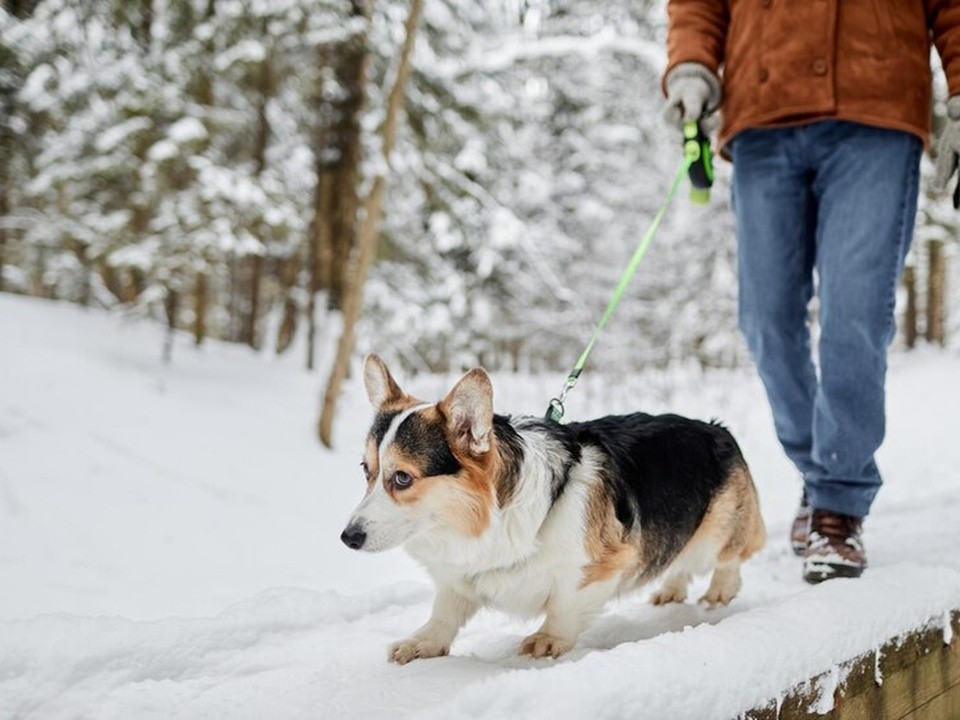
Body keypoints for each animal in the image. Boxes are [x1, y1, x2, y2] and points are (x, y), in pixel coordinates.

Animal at [344, 354, 764, 664]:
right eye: (366, 469)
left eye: (402, 478)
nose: (348, 538)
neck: (487, 519)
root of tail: (717, 428)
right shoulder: (458, 580)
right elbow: (443, 613)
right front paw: (422, 643)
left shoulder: (599, 566)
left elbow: (564, 606)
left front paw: (547, 640)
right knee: (677, 558)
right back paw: (671, 590)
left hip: (716, 532)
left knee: (729, 556)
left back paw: (719, 590)